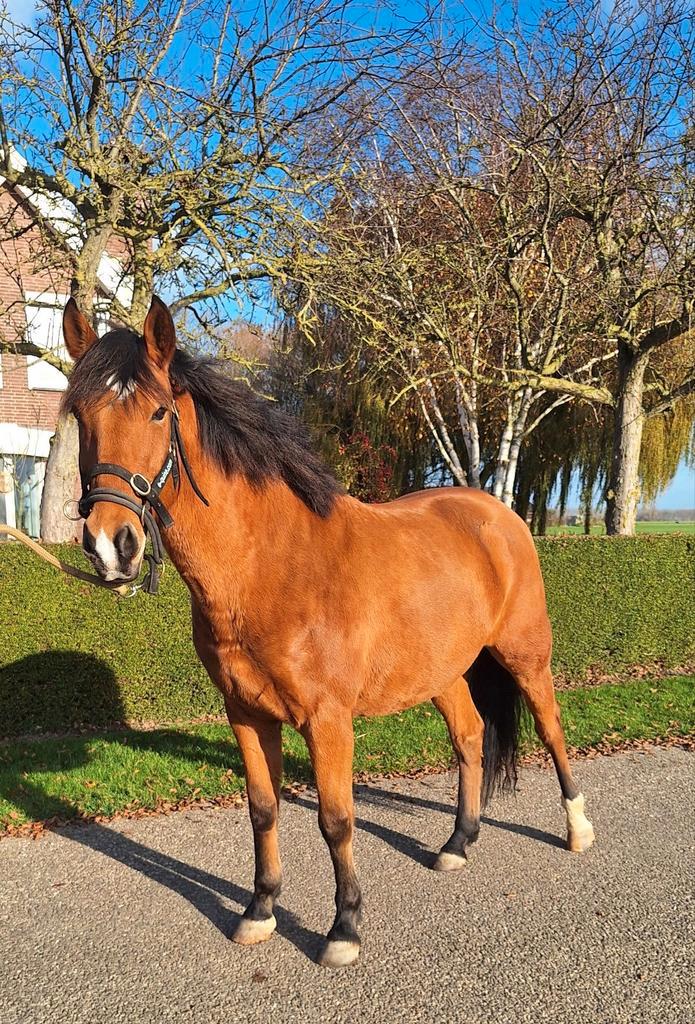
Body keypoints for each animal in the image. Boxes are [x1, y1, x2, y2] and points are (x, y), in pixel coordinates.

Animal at [60, 295, 595, 968]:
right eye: (81, 415)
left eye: (159, 411)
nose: (112, 545)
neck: (272, 567)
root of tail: (498, 514)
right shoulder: (245, 713)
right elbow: (263, 810)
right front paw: (259, 911)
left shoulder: (327, 718)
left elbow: (337, 820)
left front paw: (343, 930)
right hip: (442, 671)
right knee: (470, 737)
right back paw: (457, 843)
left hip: (526, 655)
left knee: (551, 728)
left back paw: (577, 829)